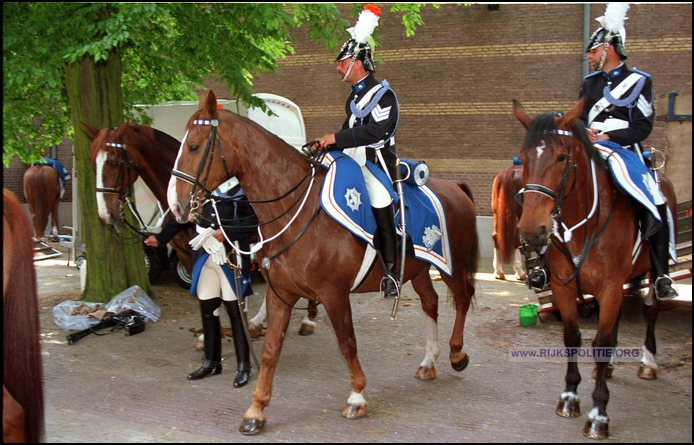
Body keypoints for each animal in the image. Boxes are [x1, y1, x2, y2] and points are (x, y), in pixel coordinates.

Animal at [167, 89, 482, 434]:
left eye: (194, 146)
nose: (176, 206)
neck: (296, 209)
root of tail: (454, 186)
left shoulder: (334, 293)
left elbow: (347, 342)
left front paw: (356, 397)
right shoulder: (281, 294)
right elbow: (270, 350)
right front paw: (256, 411)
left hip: (451, 266)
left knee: (463, 298)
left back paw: (456, 353)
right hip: (417, 269)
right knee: (430, 303)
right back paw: (428, 362)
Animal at [516, 97, 680, 438]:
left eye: (561, 156)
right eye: (523, 158)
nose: (531, 231)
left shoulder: (609, 287)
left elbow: (600, 342)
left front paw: (598, 415)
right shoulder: (565, 288)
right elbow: (573, 338)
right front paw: (569, 397)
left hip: (650, 275)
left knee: (651, 309)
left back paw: (648, 363)